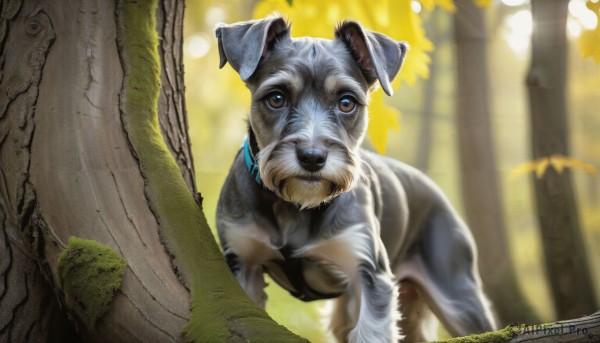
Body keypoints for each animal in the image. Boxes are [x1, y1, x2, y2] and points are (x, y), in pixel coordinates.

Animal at [216, 14, 496, 342]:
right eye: (276, 98)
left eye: (347, 102)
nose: (312, 157)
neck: (297, 206)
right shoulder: (242, 264)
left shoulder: (370, 273)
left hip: (459, 296)